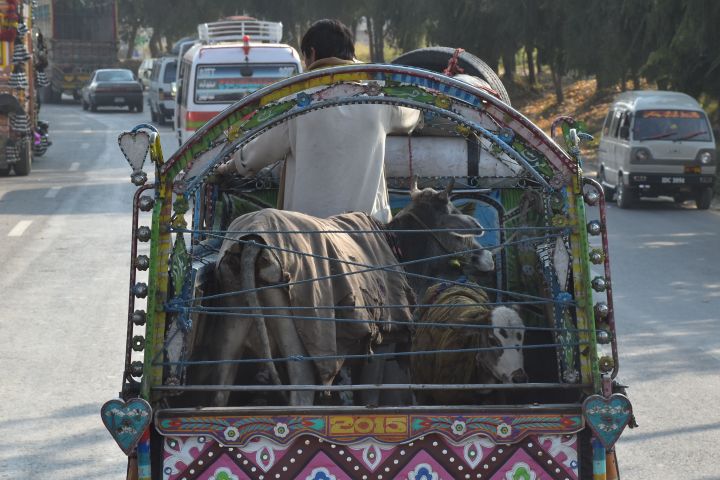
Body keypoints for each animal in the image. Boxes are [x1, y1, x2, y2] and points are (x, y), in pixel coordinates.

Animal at [203, 179, 495, 406]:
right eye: (459, 231)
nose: (488, 258)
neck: (396, 248)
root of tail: (253, 240)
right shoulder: (382, 342)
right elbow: (368, 398)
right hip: (304, 336)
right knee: (300, 394)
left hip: (233, 316)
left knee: (218, 393)